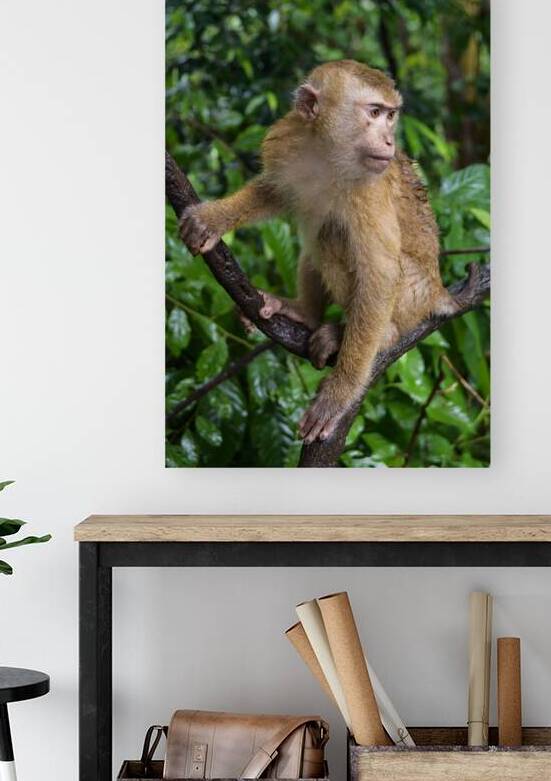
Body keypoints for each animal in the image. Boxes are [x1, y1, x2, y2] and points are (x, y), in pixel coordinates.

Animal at [180, 60, 459, 444]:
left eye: (391, 116)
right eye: (375, 113)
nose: (389, 139)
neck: (329, 154)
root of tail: (436, 287)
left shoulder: (370, 187)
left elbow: (380, 273)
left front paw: (339, 394)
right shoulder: (286, 138)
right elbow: (274, 191)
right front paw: (214, 218)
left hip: (413, 295)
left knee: (331, 237)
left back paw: (378, 334)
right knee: (315, 236)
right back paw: (305, 313)